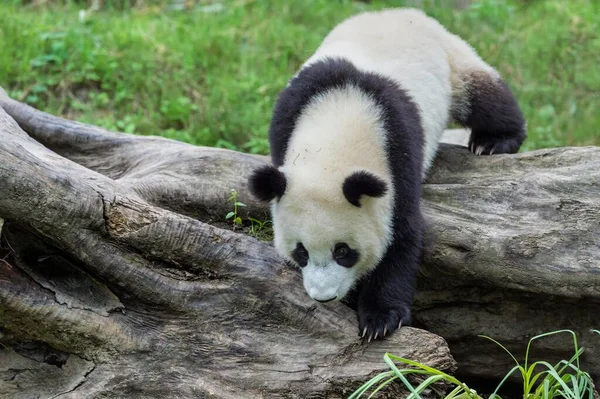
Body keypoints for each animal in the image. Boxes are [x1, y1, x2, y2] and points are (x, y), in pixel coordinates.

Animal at [246, 7, 524, 342]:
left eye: (343, 252)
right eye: (301, 253)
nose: (323, 297)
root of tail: (399, 11)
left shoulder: (397, 149)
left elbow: (402, 232)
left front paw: (380, 318)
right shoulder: (287, 118)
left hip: (451, 60)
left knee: (485, 96)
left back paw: (494, 141)